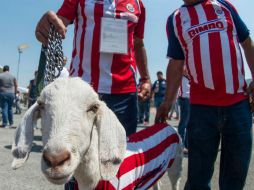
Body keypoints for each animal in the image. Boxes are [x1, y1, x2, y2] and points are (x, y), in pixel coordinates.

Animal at [11, 77, 182, 190]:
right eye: (40, 105)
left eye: (93, 107)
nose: (55, 159)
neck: (94, 179)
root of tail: (166, 125)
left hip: (176, 167)